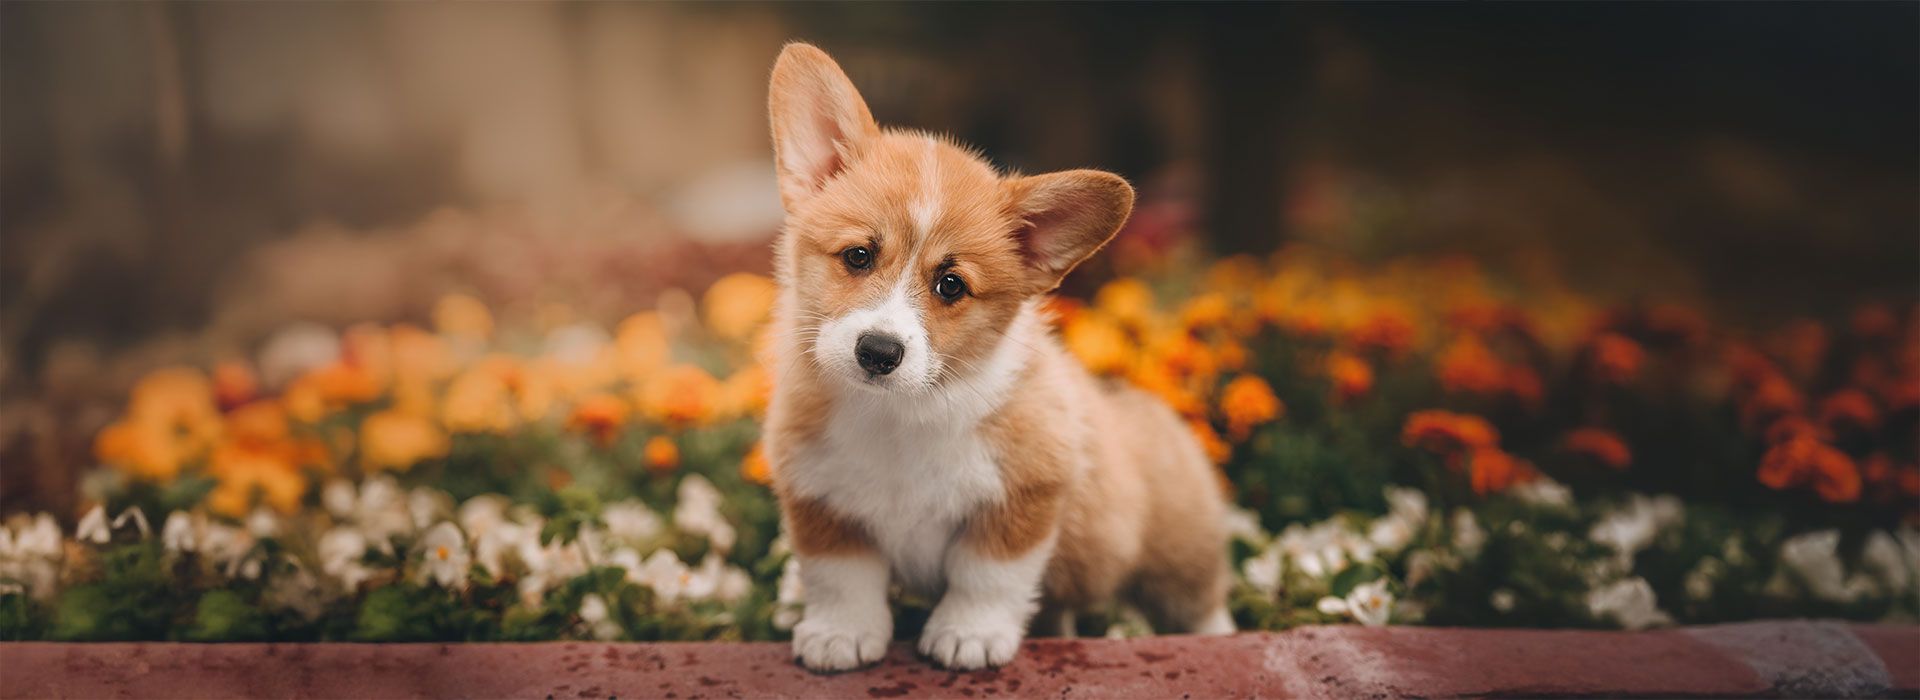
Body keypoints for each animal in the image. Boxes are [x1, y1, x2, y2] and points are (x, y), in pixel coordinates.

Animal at [760, 42, 1228, 671]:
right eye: (858, 256)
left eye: (951, 285)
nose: (879, 352)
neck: (897, 416)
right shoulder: (819, 499)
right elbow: (840, 578)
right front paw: (841, 635)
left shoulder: (1024, 496)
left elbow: (987, 576)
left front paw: (968, 635)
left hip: (1178, 552)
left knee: (1201, 605)